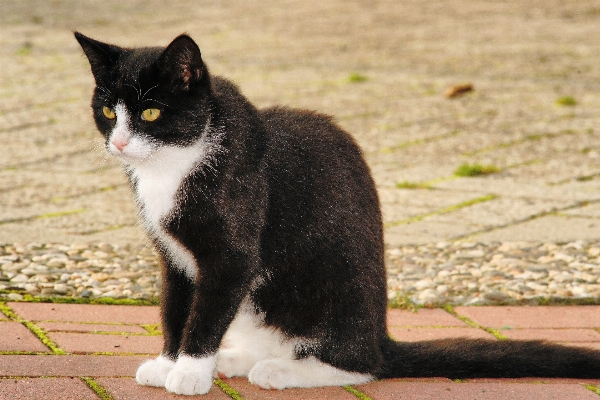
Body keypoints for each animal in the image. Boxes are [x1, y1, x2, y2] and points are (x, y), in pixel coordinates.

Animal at [74, 32, 600, 396]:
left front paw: (188, 372)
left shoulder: (232, 255)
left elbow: (205, 313)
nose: (119, 142)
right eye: (108, 111)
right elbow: (175, 308)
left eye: (151, 114)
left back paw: (281, 369)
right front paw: (168, 362)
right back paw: (241, 358)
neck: (175, 163)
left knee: (360, 365)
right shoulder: (174, 257)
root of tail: (381, 336)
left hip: (329, 292)